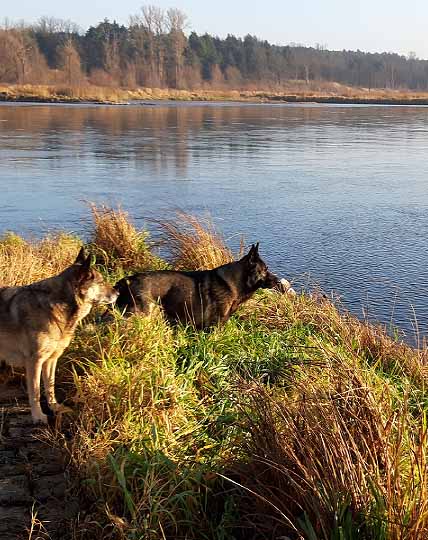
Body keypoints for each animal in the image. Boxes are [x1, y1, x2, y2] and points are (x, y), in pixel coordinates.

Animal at [0, 248, 117, 422]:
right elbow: (35, 392)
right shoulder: (34, 361)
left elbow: (50, 387)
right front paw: (38, 416)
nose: (118, 292)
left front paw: (55, 407)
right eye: (101, 282)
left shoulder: (51, 359)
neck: (55, 305)